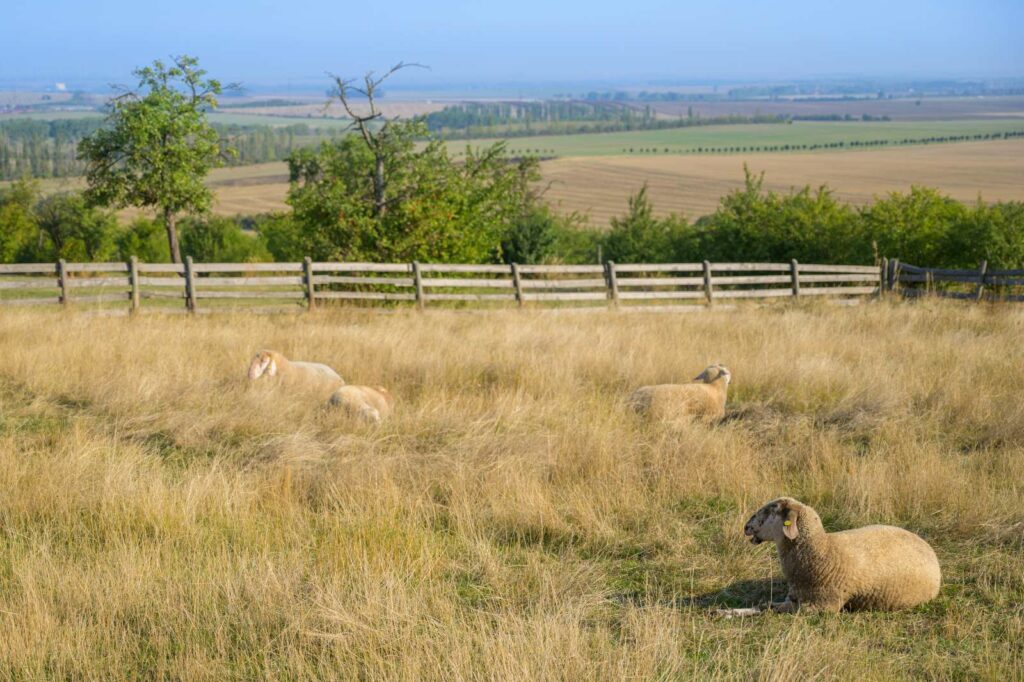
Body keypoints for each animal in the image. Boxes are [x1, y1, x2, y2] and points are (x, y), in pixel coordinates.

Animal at [720, 493, 942, 614]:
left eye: (771, 510)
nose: (746, 527)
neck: (823, 550)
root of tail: (928, 546)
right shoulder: (794, 597)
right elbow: (764, 605)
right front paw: (728, 611)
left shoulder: (822, 606)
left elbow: (771, 609)